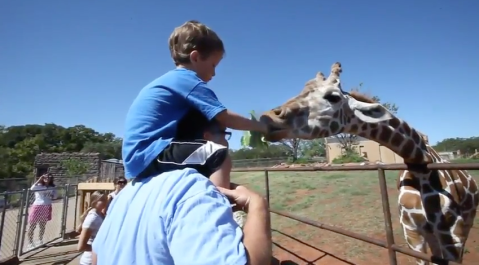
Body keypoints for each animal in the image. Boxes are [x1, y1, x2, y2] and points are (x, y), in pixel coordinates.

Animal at [260, 62, 478, 264]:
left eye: (333, 97)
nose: (268, 117)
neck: (421, 168)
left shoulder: (454, 235)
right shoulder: (411, 231)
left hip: (463, 227)